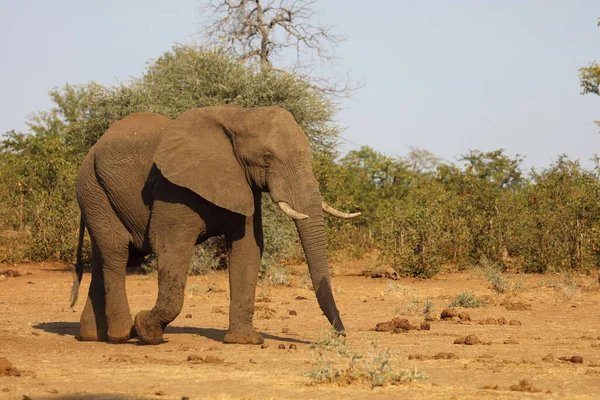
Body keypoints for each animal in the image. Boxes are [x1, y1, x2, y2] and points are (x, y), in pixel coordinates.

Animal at [70, 105, 360, 344]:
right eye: (267, 157)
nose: (341, 333)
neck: (238, 118)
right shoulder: (174, 188)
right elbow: (171, 247)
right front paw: (147, 330)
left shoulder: (242, 183)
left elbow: (248, 249)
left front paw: (245, 341)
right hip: (93, 187)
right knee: (117, 253)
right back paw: (122, 335)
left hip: (96, 192)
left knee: (104, 255)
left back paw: (92, 336)